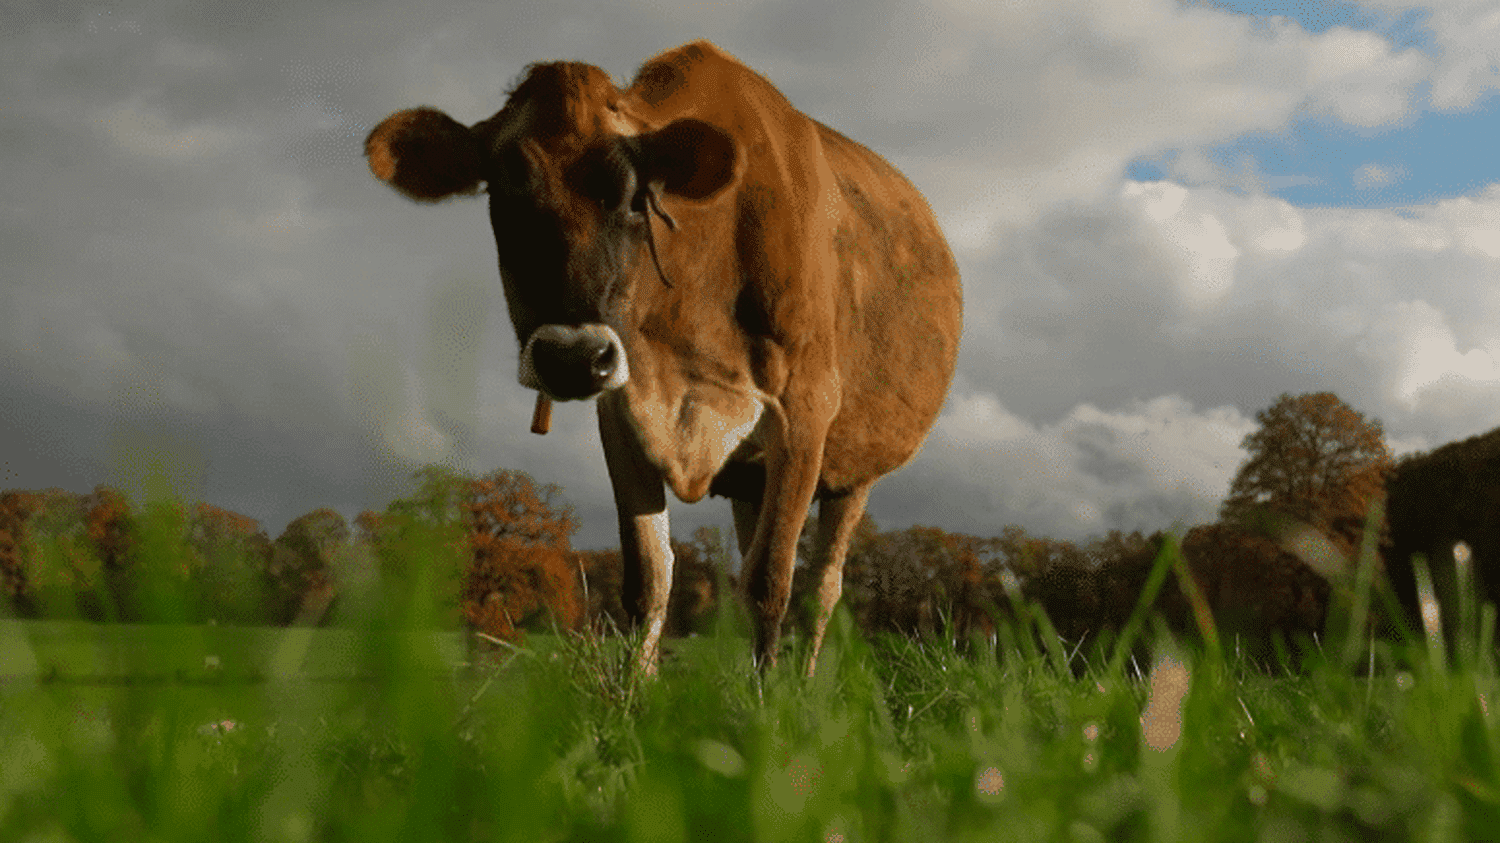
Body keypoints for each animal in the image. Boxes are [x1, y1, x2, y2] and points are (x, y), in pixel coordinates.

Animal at [366, 40, 962, 676]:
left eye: (635, 198)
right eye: (502, 195)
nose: (573, 356)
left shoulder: (805, 410)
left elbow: (770, 584)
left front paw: (770, 700)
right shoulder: (624, 411)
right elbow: (649, 582)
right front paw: (636, 696)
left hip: (856, 468)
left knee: (821, 588)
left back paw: (801, 680)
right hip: (751, 477)